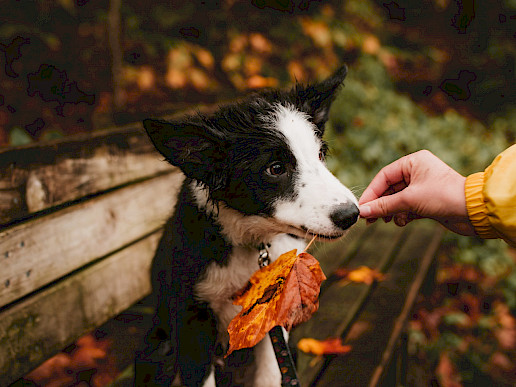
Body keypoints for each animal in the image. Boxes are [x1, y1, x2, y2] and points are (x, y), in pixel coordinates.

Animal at [135, 65, 356, 386]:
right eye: (275, 169)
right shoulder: (192, 319)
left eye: (320, 154)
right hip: (159, 350)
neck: (252, 240)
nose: (351, 214)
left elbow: (270, 374)